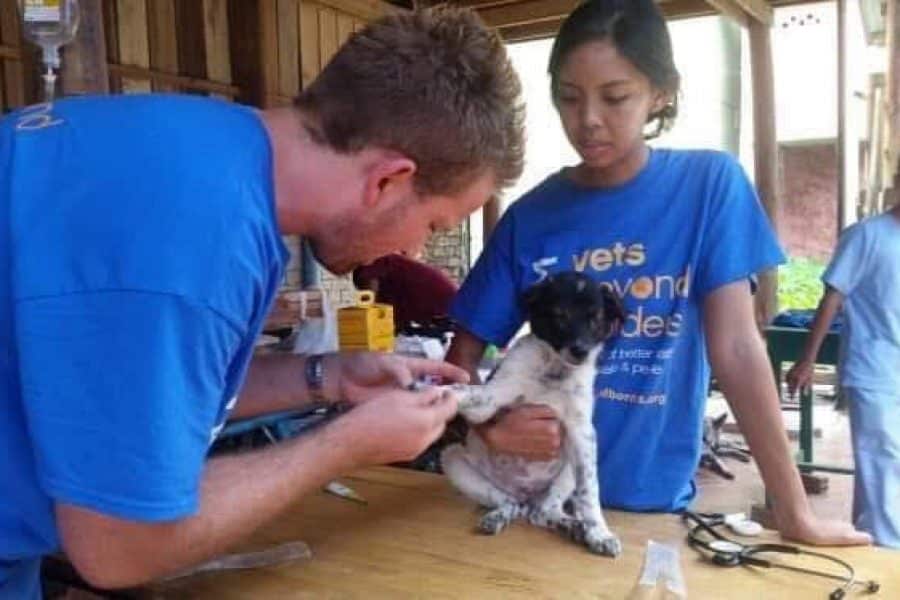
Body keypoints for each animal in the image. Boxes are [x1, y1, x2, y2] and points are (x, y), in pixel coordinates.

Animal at [438, 274, 624, 556]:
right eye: (560, 315)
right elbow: (462, 389)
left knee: (544, 512)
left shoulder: (582, 432)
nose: (580, 351)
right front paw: (422, 389)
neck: (554, 369)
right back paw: (497, 517)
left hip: (567, 470)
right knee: (509, 503)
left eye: (596, 318)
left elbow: (589, 491)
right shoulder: (490, 400)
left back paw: (574, 526)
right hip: (453, 460)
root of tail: (527, 496)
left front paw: (599, 533)